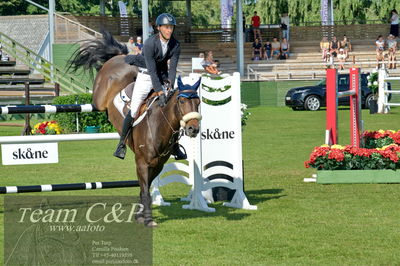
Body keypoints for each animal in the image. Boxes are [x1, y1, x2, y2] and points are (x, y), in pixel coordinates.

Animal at [67, 31, 203, 227]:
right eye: (182, 101)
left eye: (198, 102)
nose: (193, 129)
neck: (159, 126)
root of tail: (119, 57)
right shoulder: (142, 163)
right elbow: (145, 191)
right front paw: (148, 219)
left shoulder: (157, 165)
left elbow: (143, 189)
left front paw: (140, 215)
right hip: (99, 100)